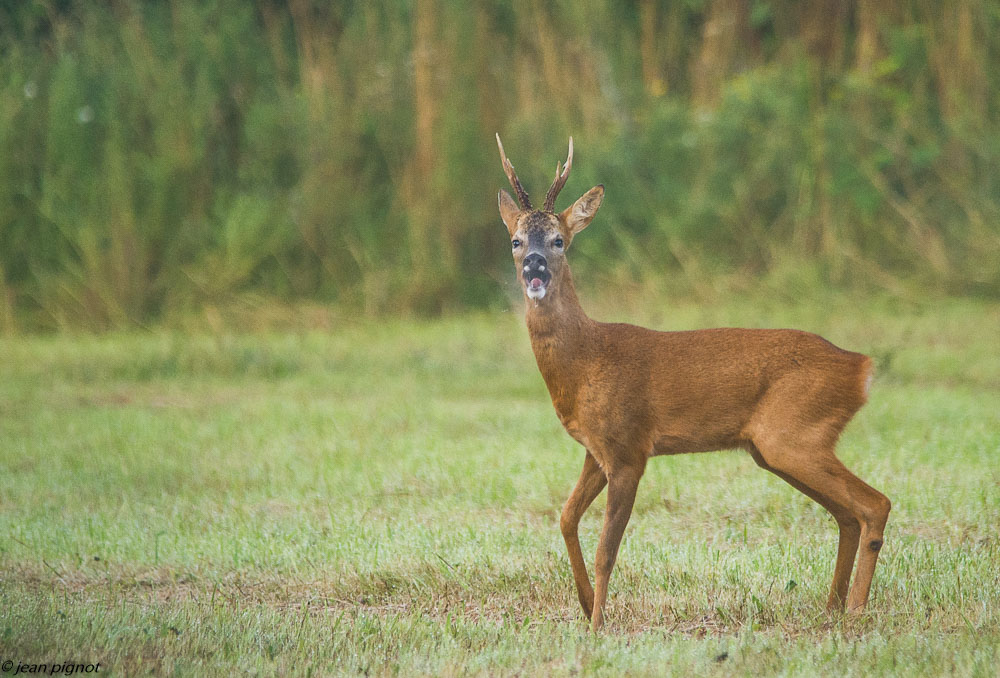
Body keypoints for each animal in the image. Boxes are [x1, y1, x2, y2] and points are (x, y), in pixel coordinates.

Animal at [496, 135, 896, 636]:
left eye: (558, 241)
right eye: (515, 240)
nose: (535, 268)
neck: (587, 359)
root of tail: (860, 367)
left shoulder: (630, 449)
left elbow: (608, 550)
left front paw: (597, 626)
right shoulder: (596, 449)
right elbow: (566, 519)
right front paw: (587, 607)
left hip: (792, 434)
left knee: (874, 504)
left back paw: (856, 611)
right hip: (776, 448)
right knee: (846, 514)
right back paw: (832, 607)